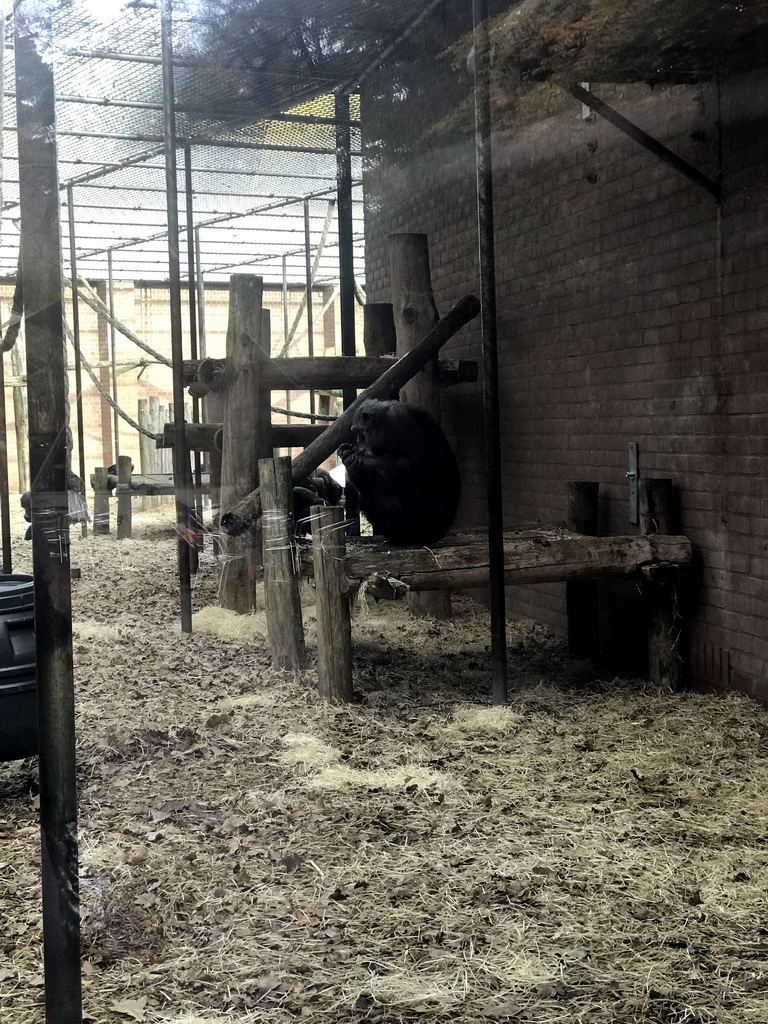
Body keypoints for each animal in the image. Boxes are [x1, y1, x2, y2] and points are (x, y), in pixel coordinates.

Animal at [339, 397, 460, 548]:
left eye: (359, 432)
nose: (357, 445)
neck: (383, 426)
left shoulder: (399, 419)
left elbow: (415, 463)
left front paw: (352, 458)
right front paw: (350, 463)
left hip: (435, 519)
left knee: (383, 487)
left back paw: (415, 540)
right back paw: (397, 541)